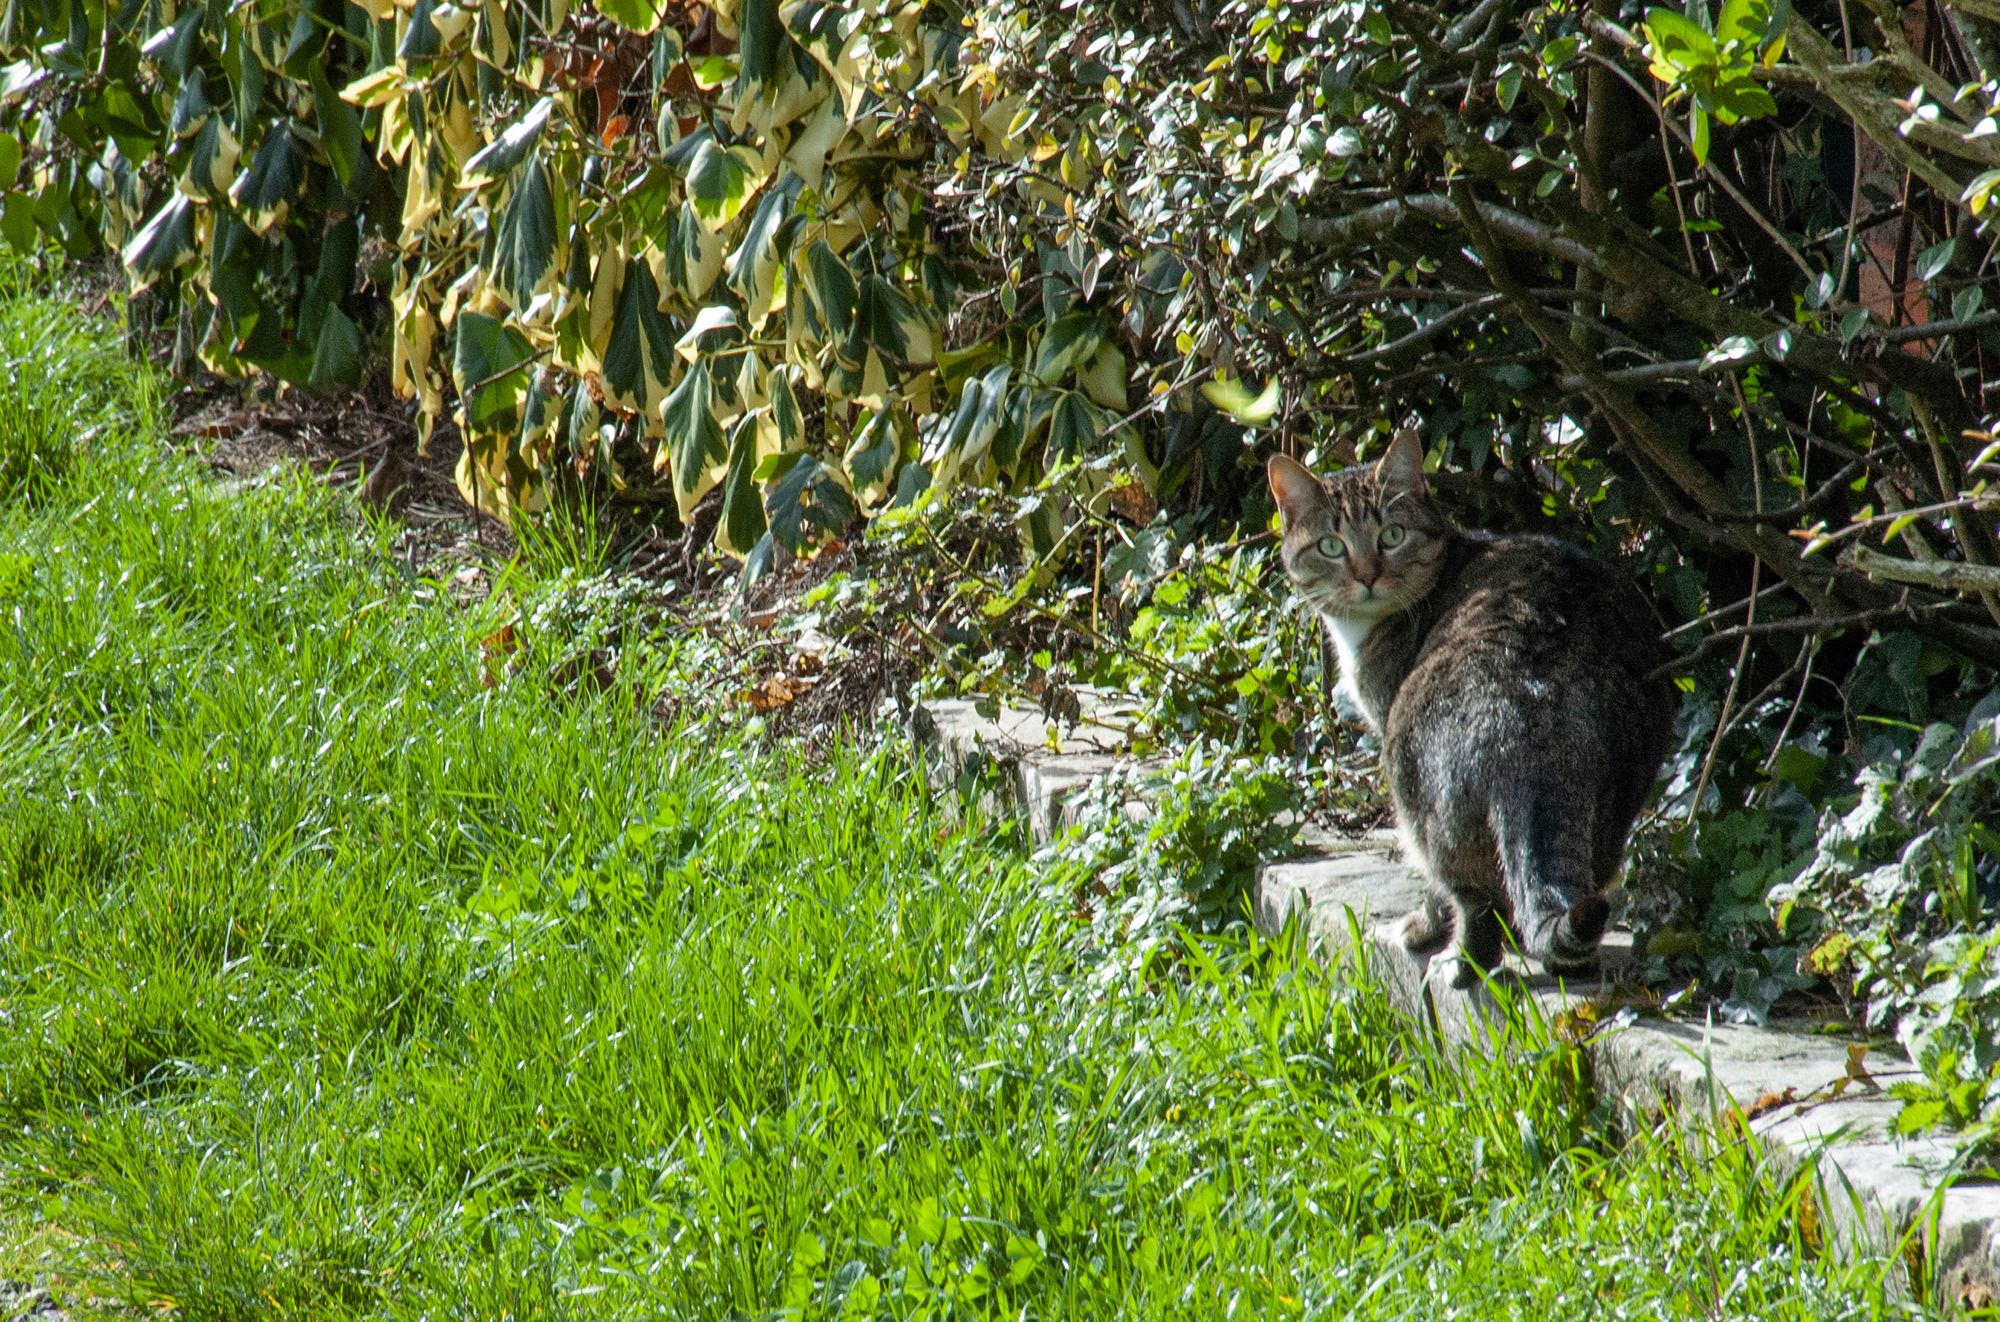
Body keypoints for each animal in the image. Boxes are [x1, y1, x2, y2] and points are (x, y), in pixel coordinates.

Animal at [1272, 428, 1680, 984]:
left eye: (1392, 536)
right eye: (1331, 546)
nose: (1367, 576)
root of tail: (1536, 707)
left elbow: (1436, 892)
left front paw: (1423, 929)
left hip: (1419, 788)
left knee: (1471, 894)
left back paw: (1462, 961)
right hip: (1620, 789)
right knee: (1577, 878)